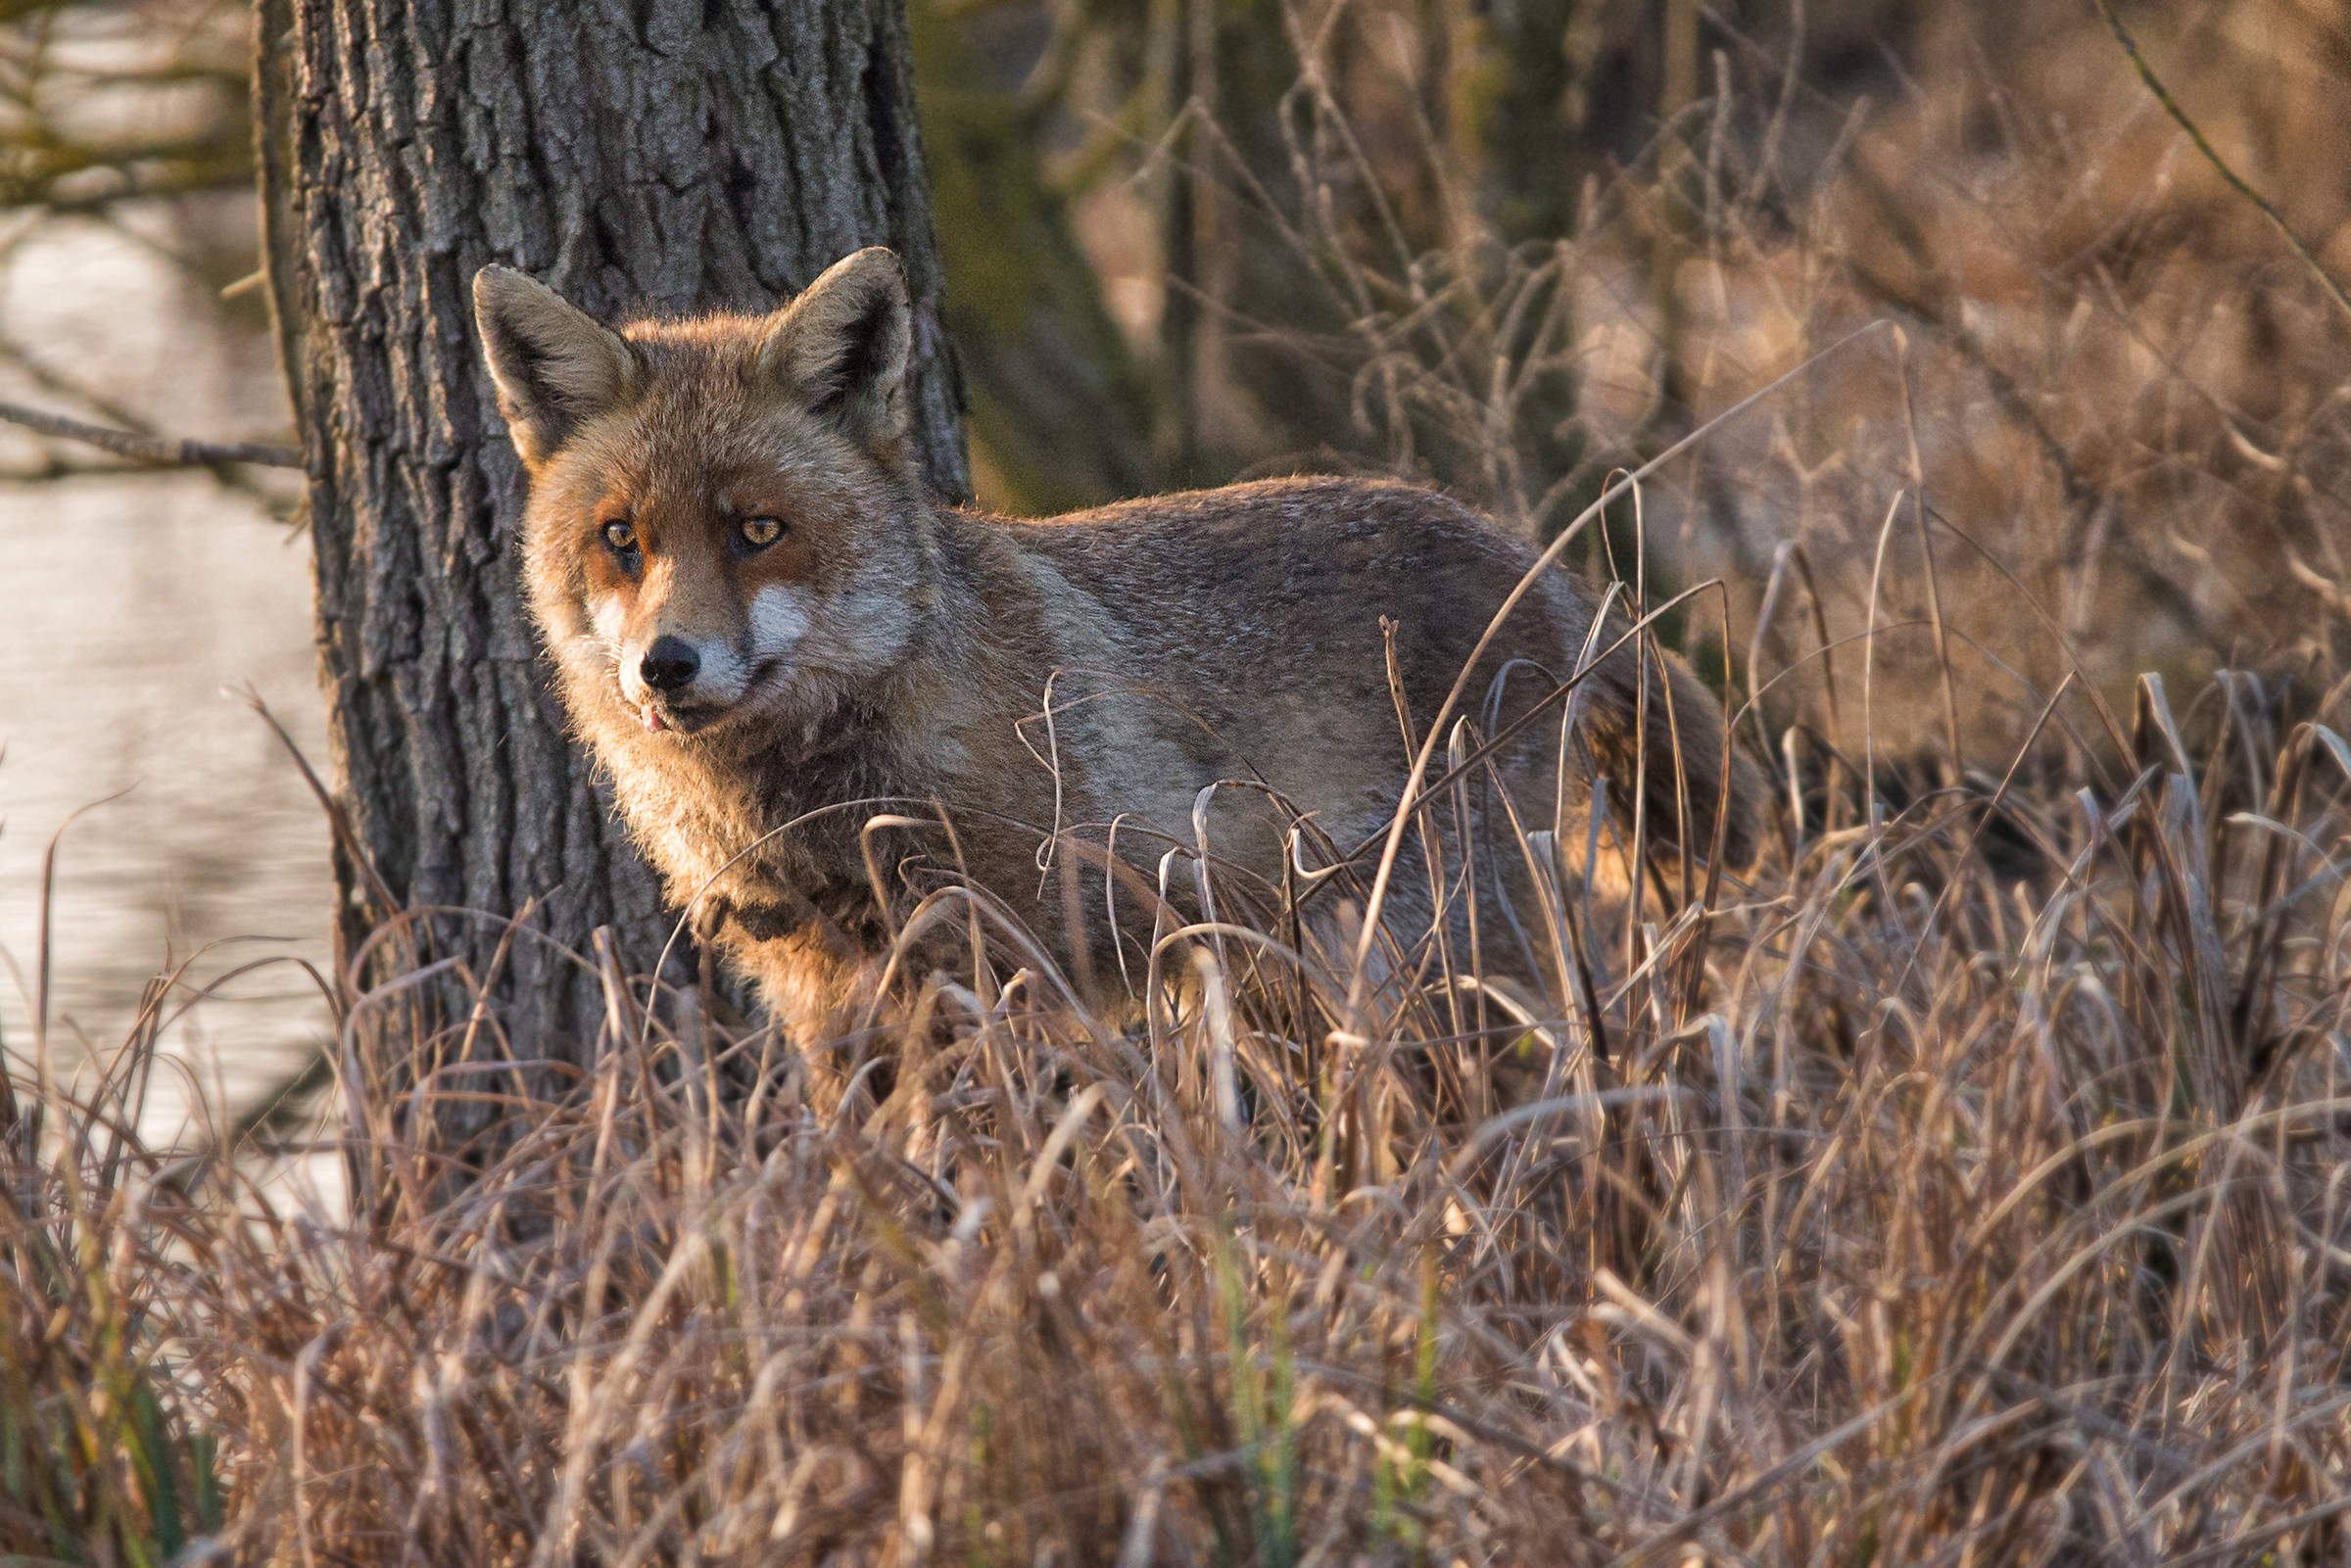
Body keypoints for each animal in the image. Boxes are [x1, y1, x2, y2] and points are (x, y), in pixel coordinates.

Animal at [472, 248, 1763, 1059]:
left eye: (756, 531)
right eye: (622, 540)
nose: (667, 666)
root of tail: (1531, 554)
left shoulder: (1015, 966)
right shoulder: (823, 992)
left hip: (1439, 953)